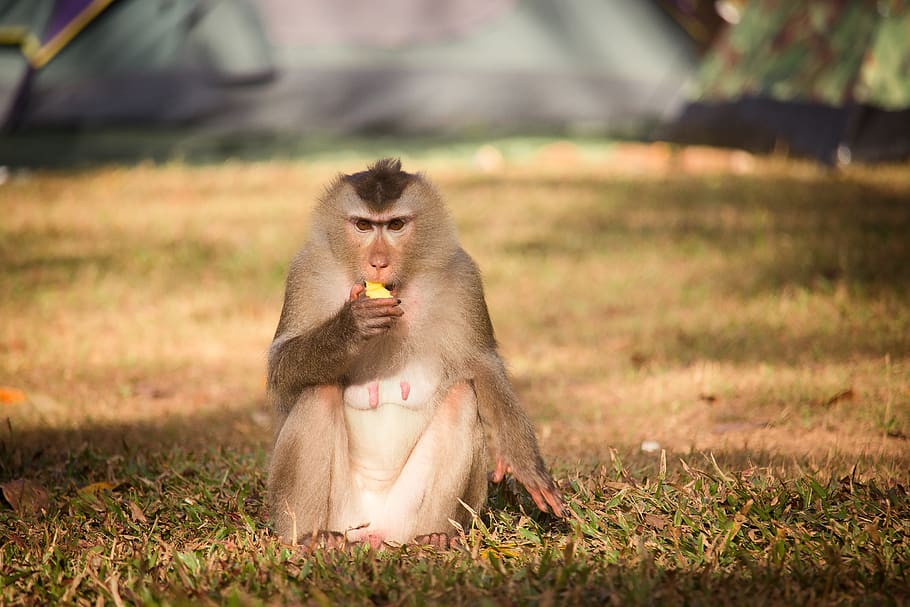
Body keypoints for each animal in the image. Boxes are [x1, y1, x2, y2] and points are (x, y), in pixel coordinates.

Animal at [267, 158, 564, 549]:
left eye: (395, 225)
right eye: (363, 225)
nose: (378, 262)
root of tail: (374, 533)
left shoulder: (462, 278)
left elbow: (483, 366)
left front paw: (524, 462)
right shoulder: (306, 272)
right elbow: (281, 366)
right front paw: (351, 325)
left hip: (403, 518)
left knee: (461, 399)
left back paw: (435, 536)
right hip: (343, 516)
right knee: (319, 389)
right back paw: (312, 538)